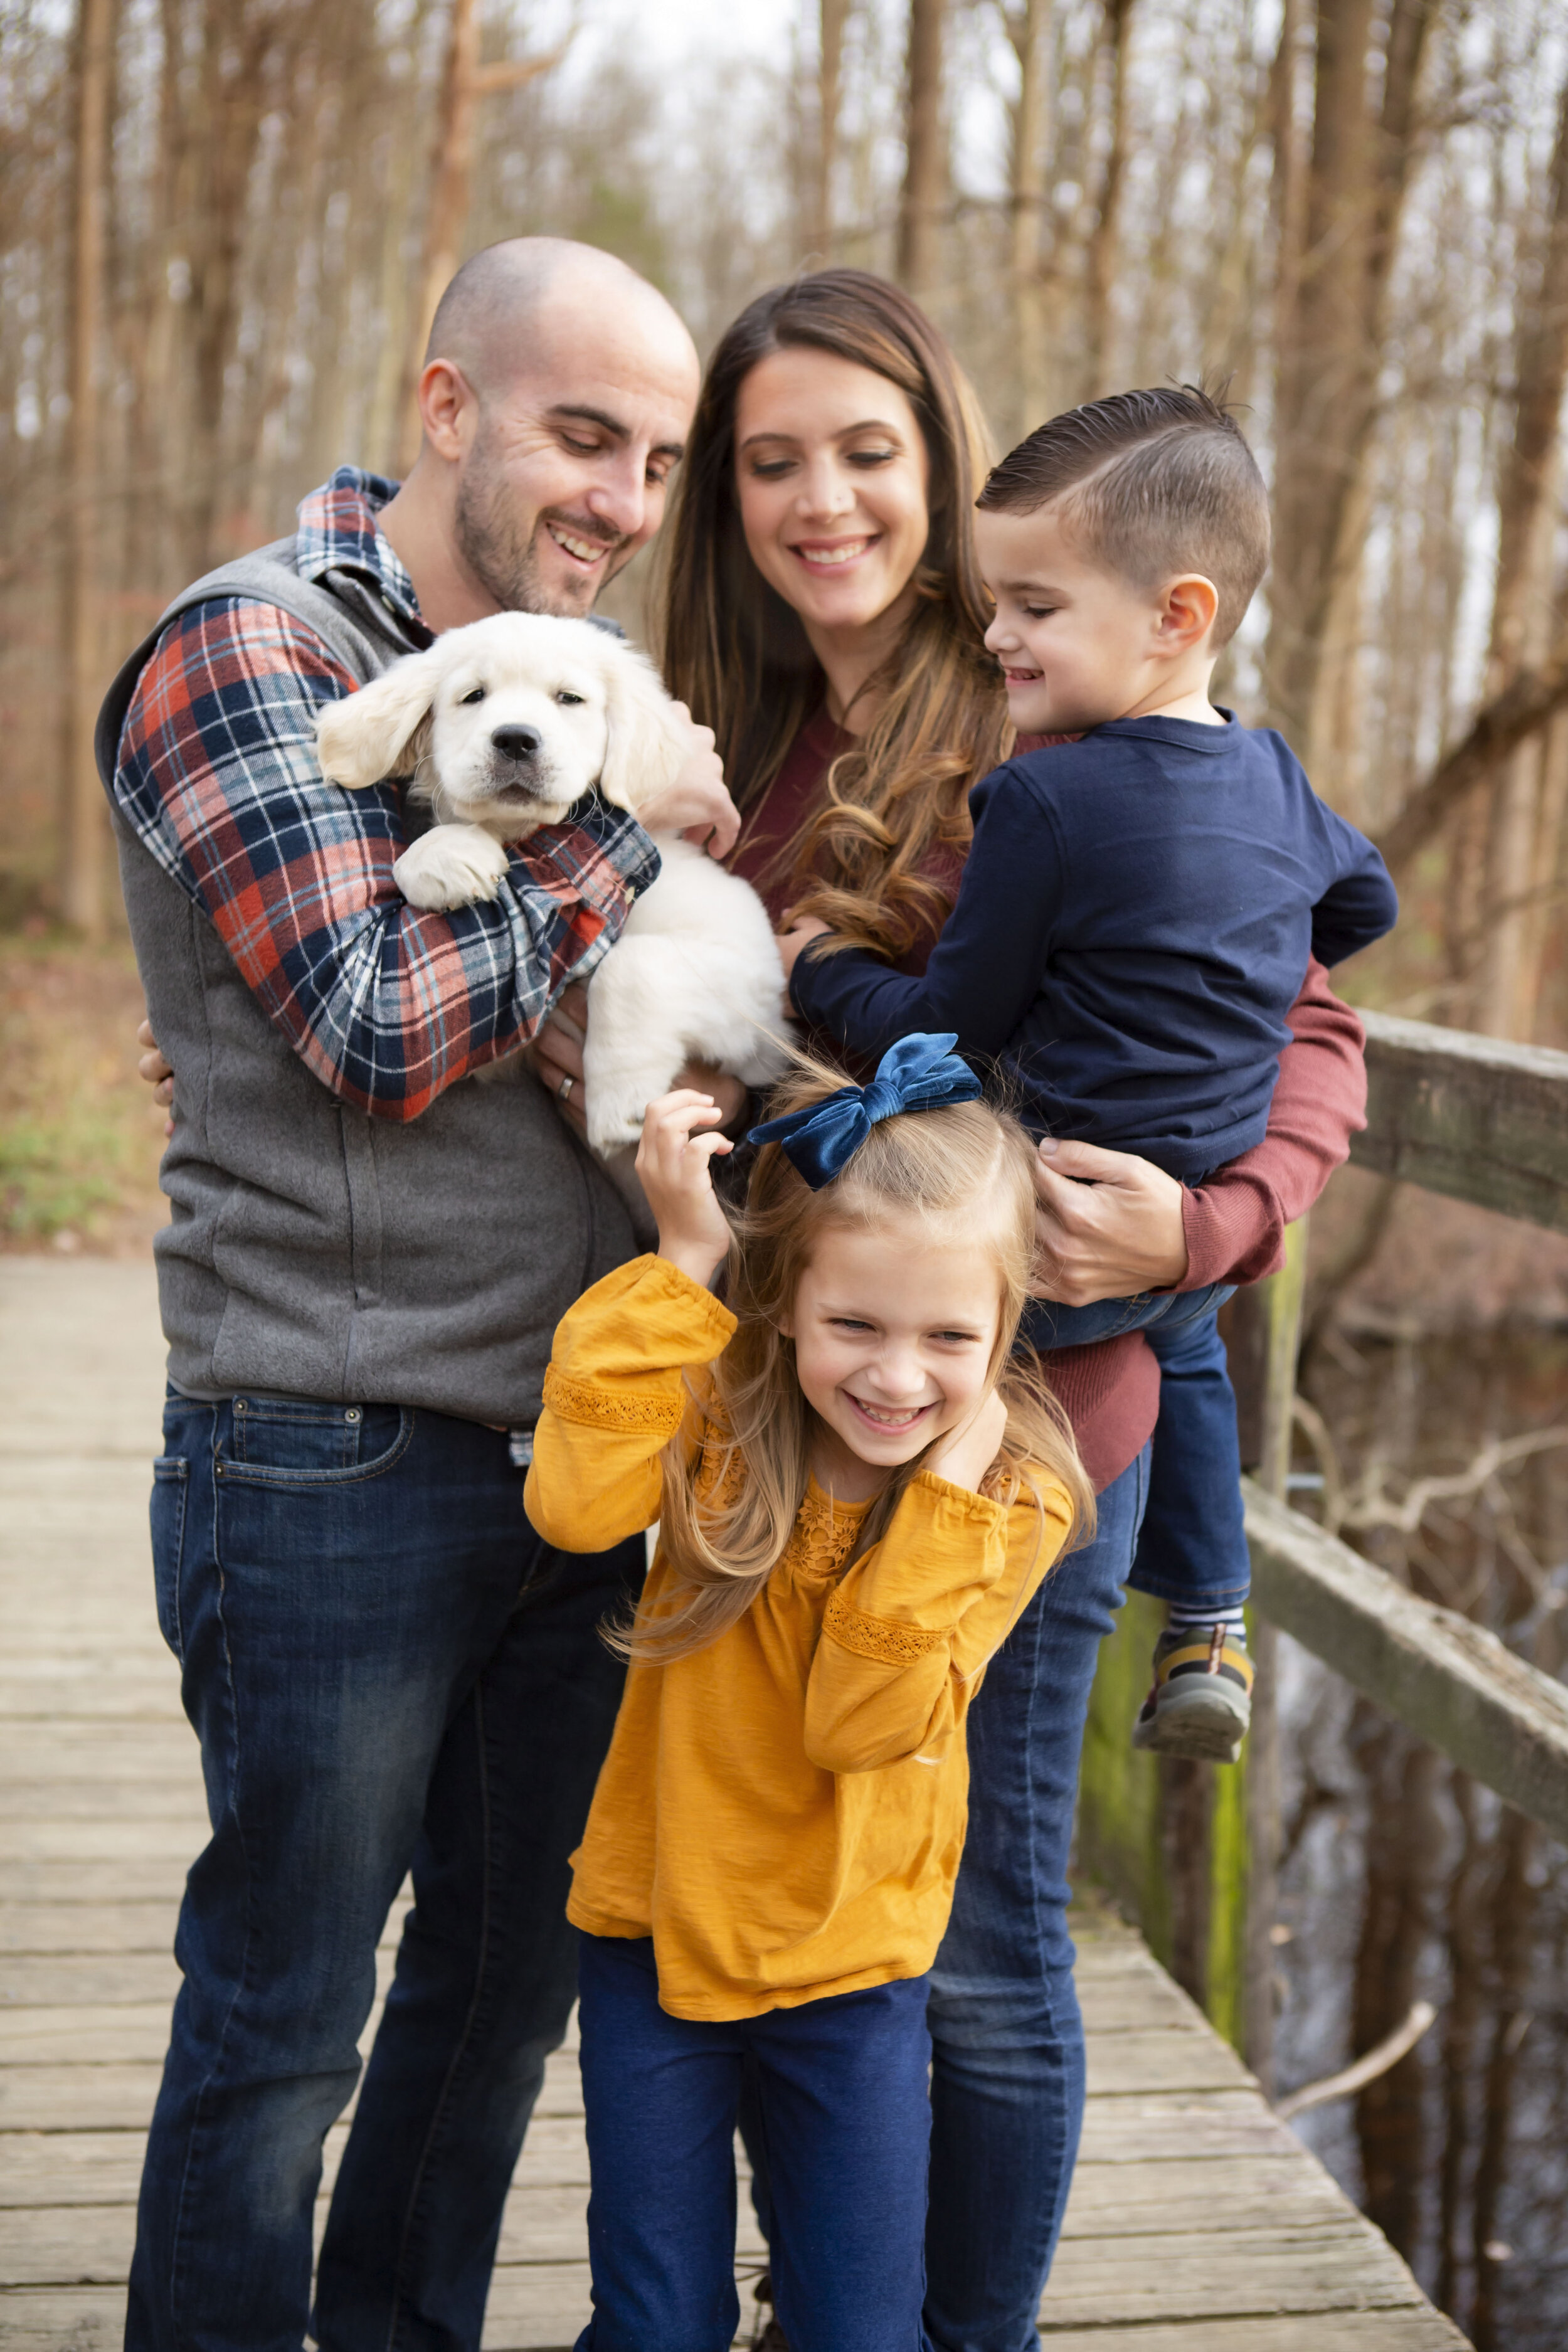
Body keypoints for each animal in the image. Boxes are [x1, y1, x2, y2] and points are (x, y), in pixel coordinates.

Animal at [312, 612, 790, 1152]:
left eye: (569, 698)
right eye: (473, 695)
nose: (516, 740)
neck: (521, 830)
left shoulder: (759, 997)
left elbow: (631, 965)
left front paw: (620, 1106)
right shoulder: (512, 1035)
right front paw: (450, 856)